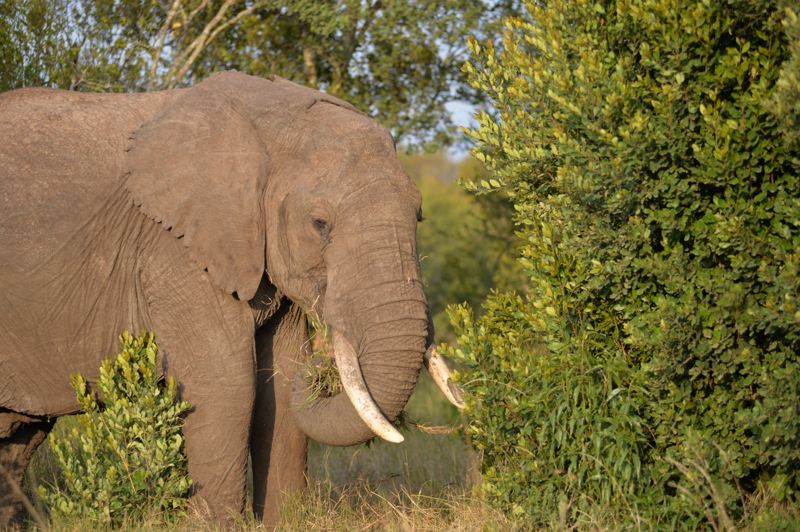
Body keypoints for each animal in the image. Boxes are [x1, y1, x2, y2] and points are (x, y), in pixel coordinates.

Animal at [0, 71, 463, 527]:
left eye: (419, 215)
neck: (268, 121)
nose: (324, 365)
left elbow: (279, 389)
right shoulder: (175, 250)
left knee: (18, 439)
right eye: (320, 224)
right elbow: (230, 388)